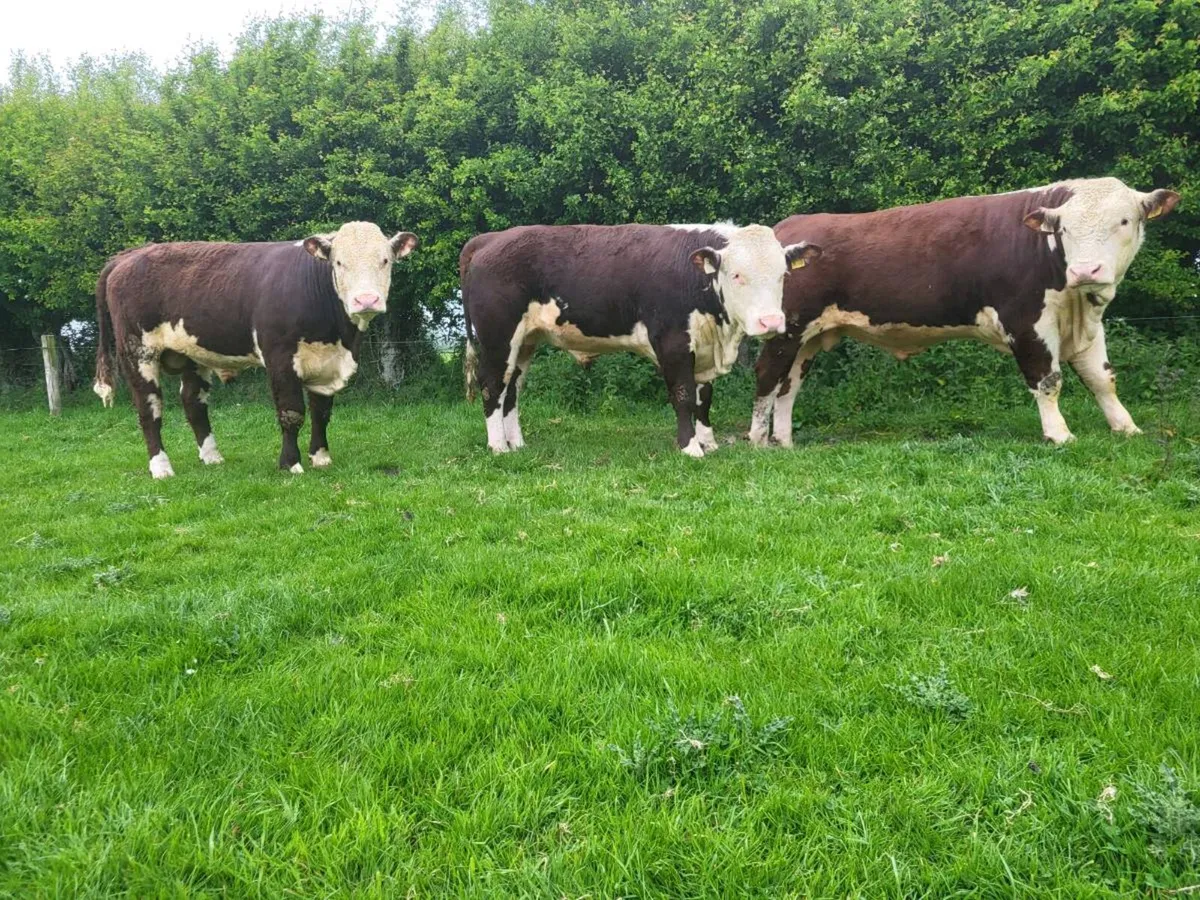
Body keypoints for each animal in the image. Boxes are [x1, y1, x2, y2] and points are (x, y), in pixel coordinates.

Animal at [92, 222, 418, 477]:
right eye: (339, 263)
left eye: (385, 260)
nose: (366, 300)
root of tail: (130, 254)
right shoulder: (280, 357)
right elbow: (292, 412)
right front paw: (290, 464)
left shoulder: (328, 362)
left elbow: (322, 412)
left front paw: (321, 457)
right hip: (138, 351)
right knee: (149, 408)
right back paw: (161, 468)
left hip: (192, 353)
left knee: (193, 402)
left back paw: (212, 457)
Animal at [460, 223, 822, 456]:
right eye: (736, 275)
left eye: (783, 275)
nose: (771, 322)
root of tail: (491, 238)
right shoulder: (673, 342)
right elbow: (683, 395)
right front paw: (690, 447)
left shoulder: (703, 346)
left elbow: (704, 398)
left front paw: (708, 441)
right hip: (497, 338)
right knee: (493, 385)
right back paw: (497, 447)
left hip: (524, 342)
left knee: (511, 389)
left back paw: (516, 444)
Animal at [742, 178, 1180, 447]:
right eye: (1065, 229)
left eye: (1124, 220)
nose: (1086, 270)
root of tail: (786, 228)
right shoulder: (1026, 321)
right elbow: (1048, 380)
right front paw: (1059, 435)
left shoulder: (1087, 323)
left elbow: (1103, 379)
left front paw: (1126, 427)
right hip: (785, 328)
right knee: (767, 376)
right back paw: (759, 441)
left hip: (808, 337)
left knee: (789, 384)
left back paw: (785, 440)